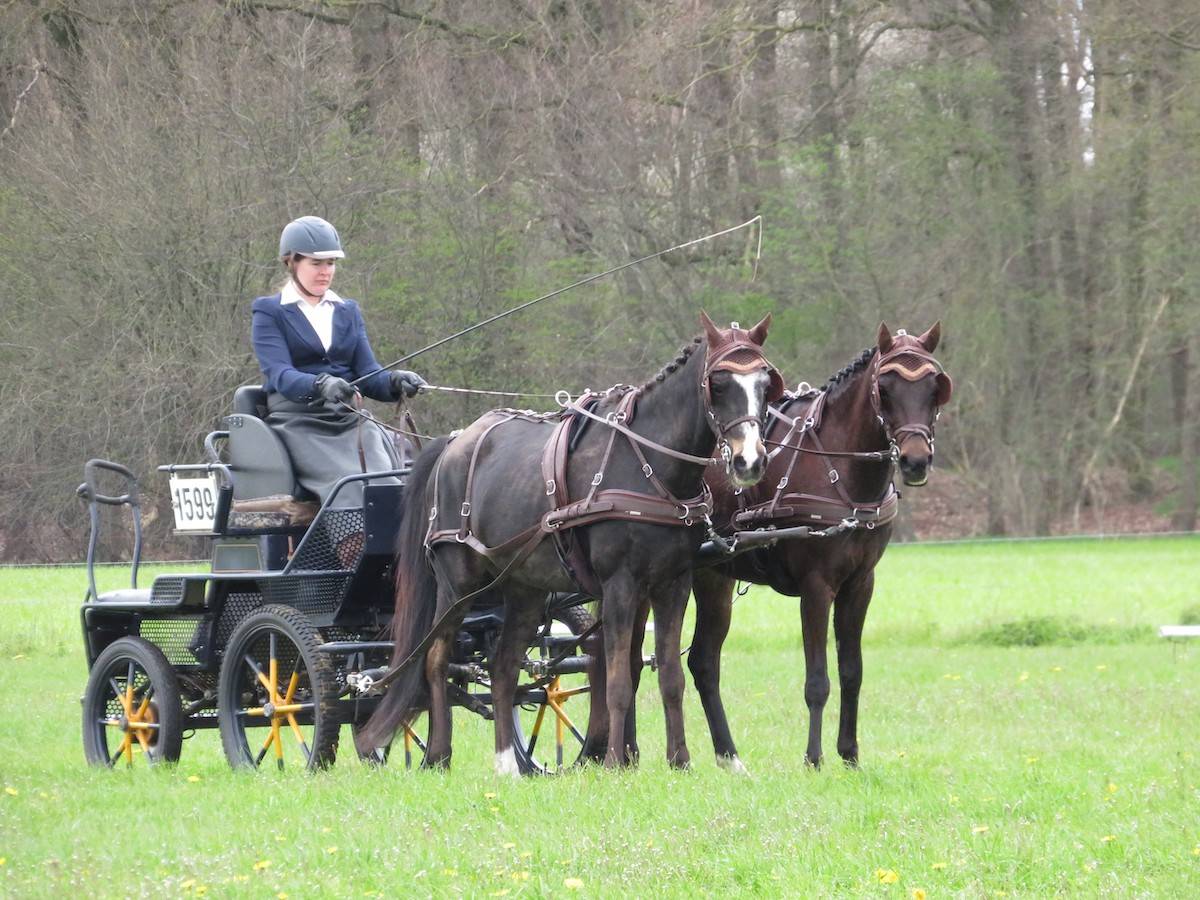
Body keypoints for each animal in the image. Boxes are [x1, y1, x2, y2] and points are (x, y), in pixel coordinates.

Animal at [358, 312, 784, 773]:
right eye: (718, 383)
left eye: (765, 384)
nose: (749, 461)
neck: (650, 464)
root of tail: (454, 443)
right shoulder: (620, 584)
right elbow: (617, 678)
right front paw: (615, 761)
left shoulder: (674, 583)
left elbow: (670, 676)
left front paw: (680, 762)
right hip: (457, 585)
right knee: (435, 660)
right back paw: (438, 755)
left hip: (524, 590)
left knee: (503, 666)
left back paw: (507, 763)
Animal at [687, 322, 952, 772]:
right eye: (885, 387)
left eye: (935, 386)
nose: (916, 460)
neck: (840, 469)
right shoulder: (817, 587)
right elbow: (817, 680)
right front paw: (813, 758)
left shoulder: (860, 585)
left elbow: (851, 672)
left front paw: (850, 755)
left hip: (715, 579)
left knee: (703, 662)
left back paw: (729, 756)